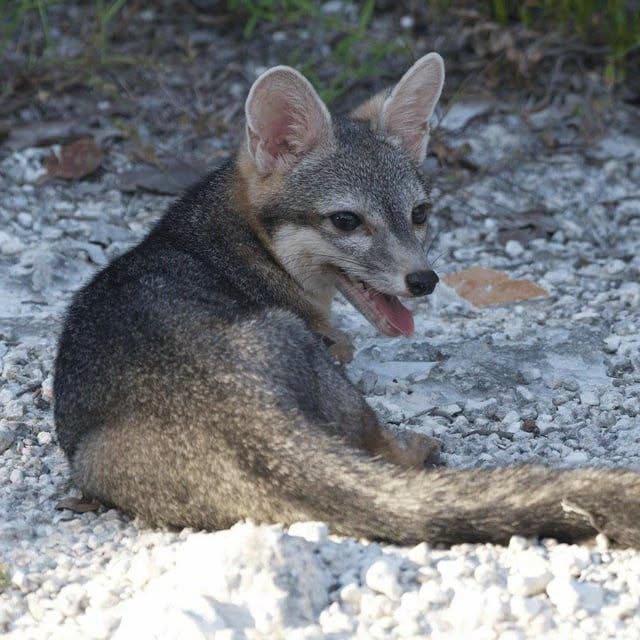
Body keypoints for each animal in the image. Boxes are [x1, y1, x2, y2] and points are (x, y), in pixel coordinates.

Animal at [54, 53, 640, 547]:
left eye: (420, 214)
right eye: (345, 221)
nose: (423, 280)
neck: (234, 242)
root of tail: (237, 409)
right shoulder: (332, 345)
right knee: (382, 449)